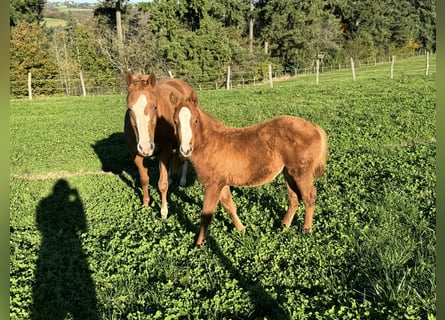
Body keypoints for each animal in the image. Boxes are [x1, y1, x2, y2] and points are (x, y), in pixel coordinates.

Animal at [125, 71, 194, 218]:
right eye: (130, 109)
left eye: (155, 107)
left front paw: (163, 211)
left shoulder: (164, 151)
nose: (146, 147)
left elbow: (162, 184)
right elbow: (144, 180)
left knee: (184, 159)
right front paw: (146, 204)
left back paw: (182, 181)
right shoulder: (136, 155)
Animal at [172, 93, 328, 248]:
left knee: (309, 196)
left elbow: (206, 216)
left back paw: (306, 230)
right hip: (289, 172)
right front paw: (242, 230)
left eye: (195, 121)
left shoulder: (212, 186)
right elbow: (230, 206)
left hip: (302, 173)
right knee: (295, 198)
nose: (185, 150)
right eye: (175, 121)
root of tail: (314, 127)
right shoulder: (221, 184)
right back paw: (284, 226)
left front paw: (198, 244)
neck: (210, 144)